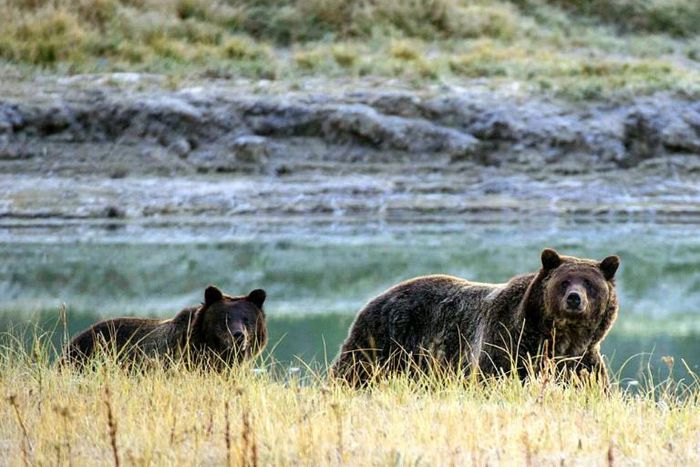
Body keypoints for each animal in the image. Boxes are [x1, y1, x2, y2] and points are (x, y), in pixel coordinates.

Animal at [331, 249, 620, 387]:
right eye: (564, 281)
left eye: (589, 283)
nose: (574, 298)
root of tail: (376, 297)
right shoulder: (506, 342)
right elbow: (493, 378)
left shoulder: (581, 361)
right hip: (383, 340)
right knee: (353, 371)